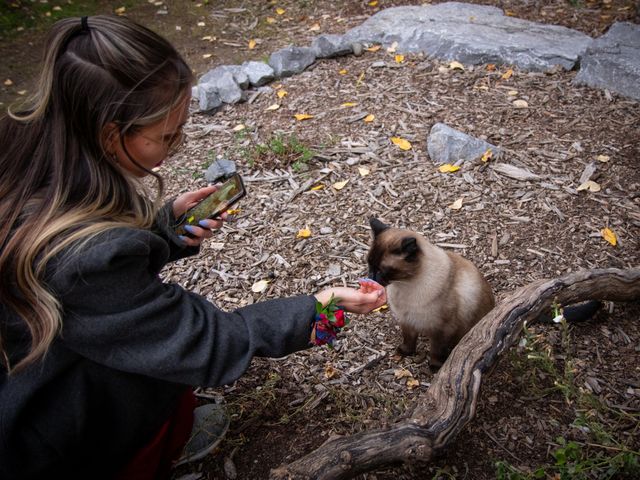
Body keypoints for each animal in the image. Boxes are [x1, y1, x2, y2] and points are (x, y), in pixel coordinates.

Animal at [364, 218, 496, 372]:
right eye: (369, 265)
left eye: (381, 271)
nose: (370, 277)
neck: (404, 285)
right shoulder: (407, 321)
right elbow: (409, 339)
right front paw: (405, 352)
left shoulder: (442, 330)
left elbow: (436, 351)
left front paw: (435, 367)